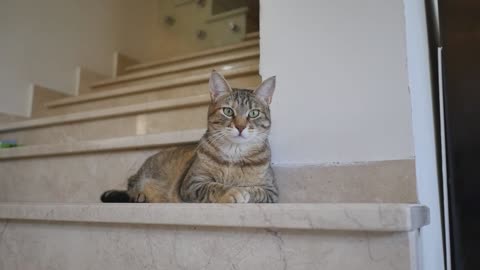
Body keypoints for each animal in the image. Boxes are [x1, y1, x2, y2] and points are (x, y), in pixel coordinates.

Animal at [100, 70, 278, 204]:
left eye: (254, 113)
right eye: (228, 111)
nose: (240, 127)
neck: (234, 155)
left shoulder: (272, 191)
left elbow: (255, 190)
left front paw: (243, 190)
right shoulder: (192, 183)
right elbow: (214, 186)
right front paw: (232, 191)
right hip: (142, 176)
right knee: (130, 187)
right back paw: (139, 196)